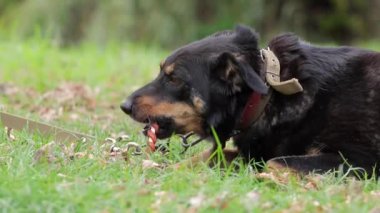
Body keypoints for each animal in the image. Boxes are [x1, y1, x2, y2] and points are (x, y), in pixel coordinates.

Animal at [121, 25, 380, 176]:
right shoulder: (251, 153)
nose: (124, 106)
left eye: (174, 79)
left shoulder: (360, 160)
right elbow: (206, 156)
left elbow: (276, 163)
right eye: (161, 72)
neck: (268, 96)